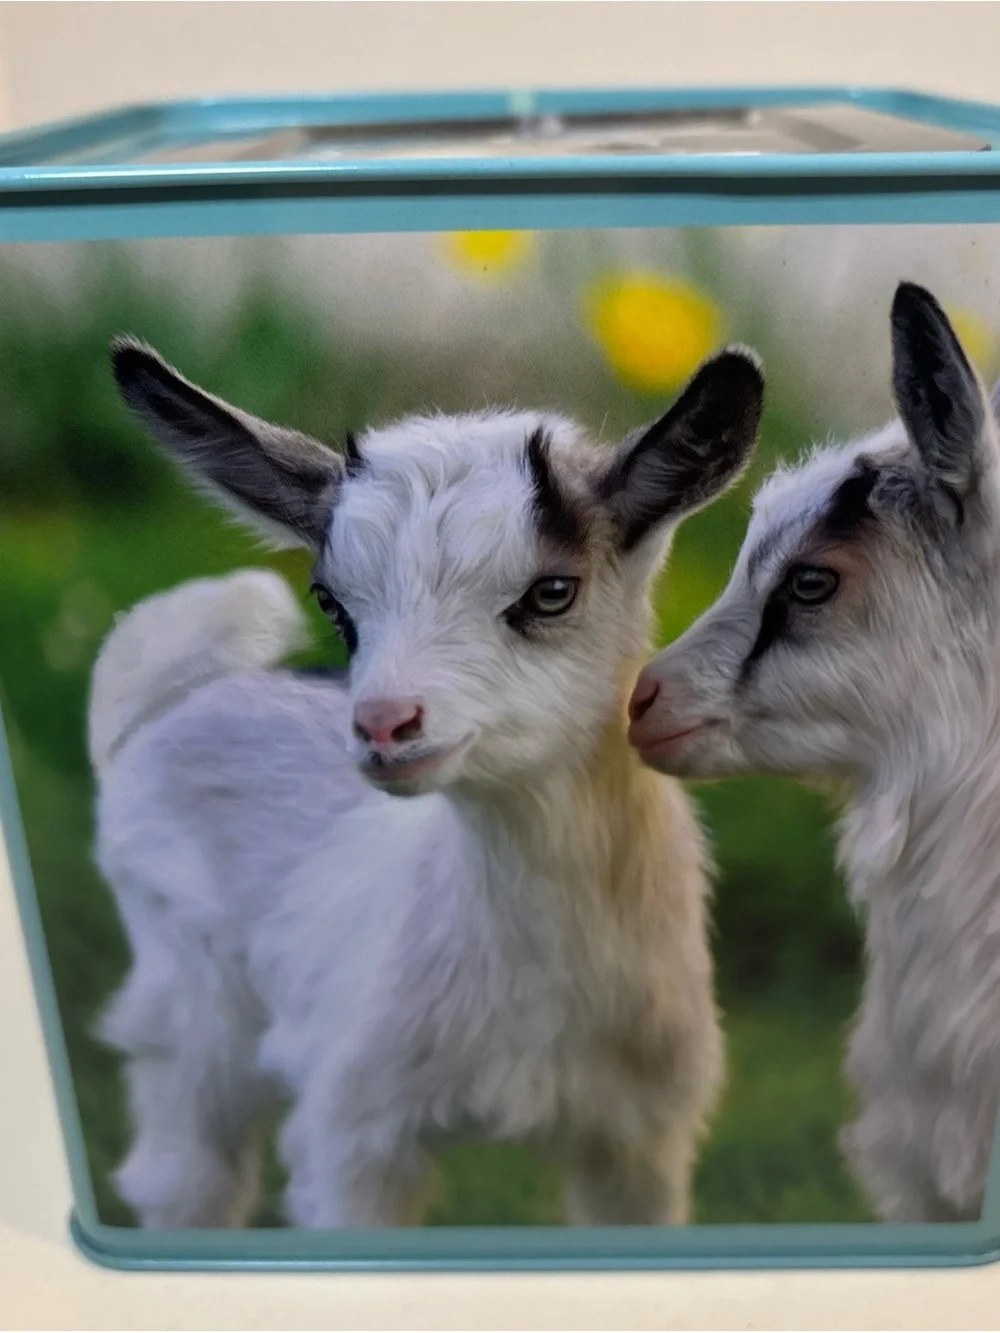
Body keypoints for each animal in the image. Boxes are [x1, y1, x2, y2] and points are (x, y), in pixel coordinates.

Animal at [89, 336, 764, 1228]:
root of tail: (171, 696)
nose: (383, 724)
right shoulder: (353, 1133)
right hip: (189, 1012)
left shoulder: (641, 1143)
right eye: (332, 603)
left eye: (552, 591)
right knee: (189, 1177)